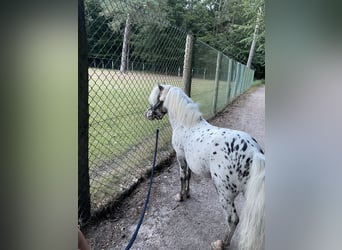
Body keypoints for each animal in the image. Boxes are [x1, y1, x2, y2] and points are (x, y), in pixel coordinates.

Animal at [145, 84, 264, 250]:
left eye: (156, 99)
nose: (147, 114)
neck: (187, 124)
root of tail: (253, 152)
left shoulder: (180, 157)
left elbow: (182, 177)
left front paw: (180, 196)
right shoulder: (188, 160)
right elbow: (188, 176)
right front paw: (187, 194)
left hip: (225, 194)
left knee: (232, 219)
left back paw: (221, 243)